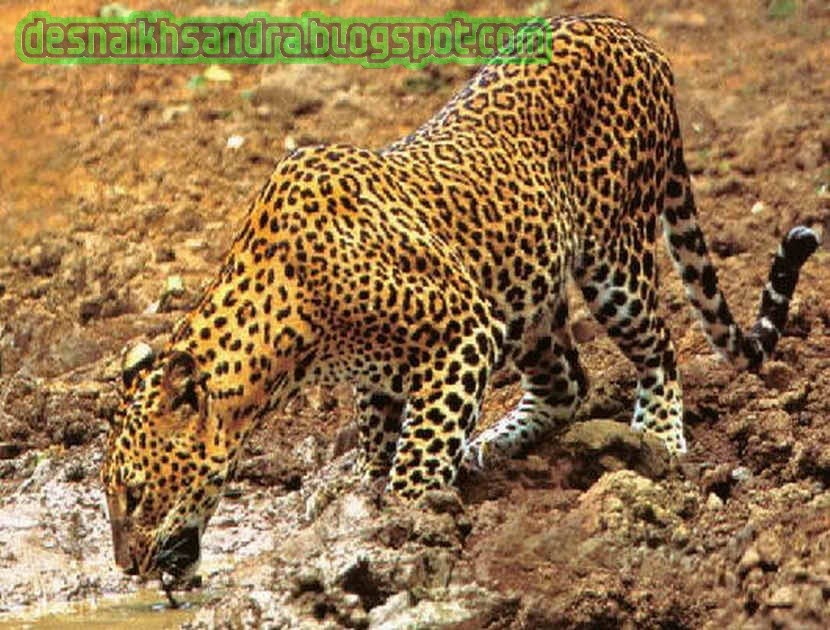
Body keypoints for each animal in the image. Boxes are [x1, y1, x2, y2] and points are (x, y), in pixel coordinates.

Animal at [101, 14, 819, 584]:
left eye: (133, 495)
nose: (127, 568)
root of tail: (628, 32)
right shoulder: (386, 368)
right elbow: (381, 430)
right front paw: (365, 489)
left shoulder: (461, 330)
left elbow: (418, 450)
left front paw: (404, 519)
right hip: (527, 293)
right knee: (567, 381)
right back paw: (494, 444)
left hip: (614, 256)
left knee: (660, 344)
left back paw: (659, 440)